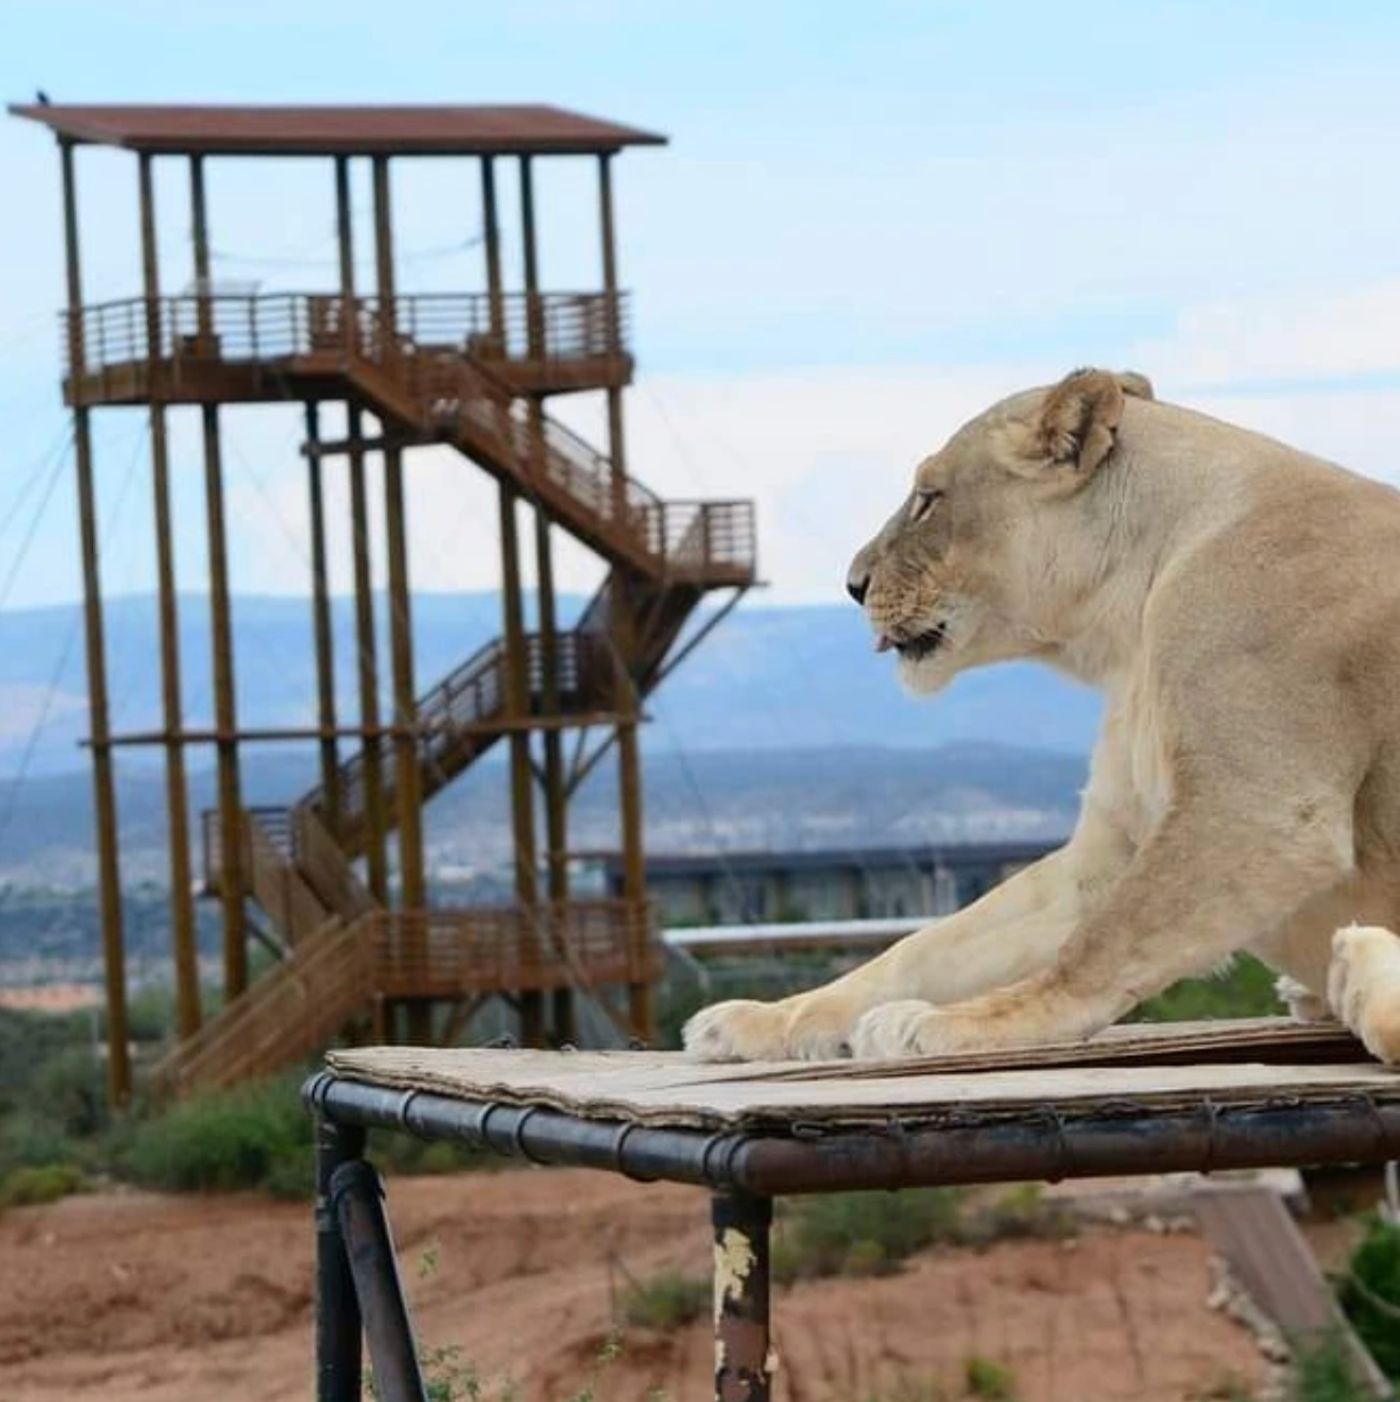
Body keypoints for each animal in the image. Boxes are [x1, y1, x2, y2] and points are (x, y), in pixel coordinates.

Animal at [684, 367, 1400, 1065]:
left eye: (929, 498)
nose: (854, 585)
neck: (1129, 618)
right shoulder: (1112, 846)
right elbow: (929, 945)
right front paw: (763, 1020)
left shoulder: (1261, 813)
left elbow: (1101, 947)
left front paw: (944, 1024)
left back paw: (1352, 971)